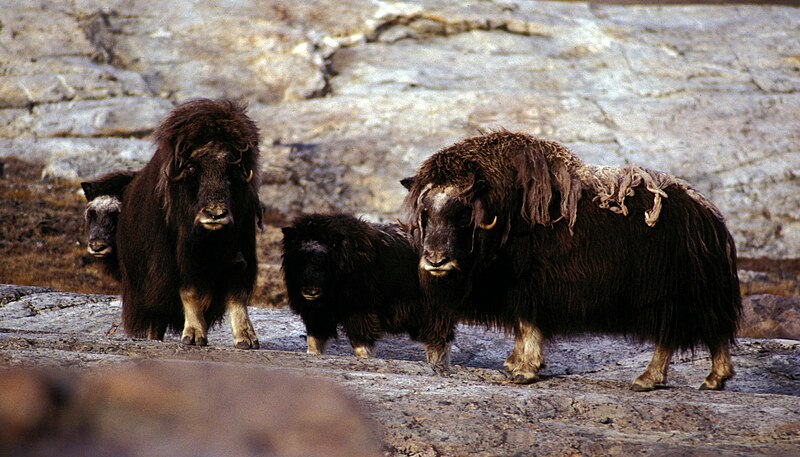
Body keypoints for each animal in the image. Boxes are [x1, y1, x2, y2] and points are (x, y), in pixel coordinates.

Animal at [117, 100, 260, 348]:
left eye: (232, 168)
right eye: (193, 168)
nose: (215, 214)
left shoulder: (241, 256)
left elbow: (237, 295)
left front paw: (247, 338)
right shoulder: (179, 263)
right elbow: (189, 293)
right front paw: (193, 336)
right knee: (157, 319)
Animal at [282, 213, 456, 364]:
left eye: (325, 260)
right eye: (299, 258)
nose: (310, 291)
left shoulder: (361, 313)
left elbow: (361, 344)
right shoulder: (315, 315)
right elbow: (314, 341)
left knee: (438, 340)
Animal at [404, 130, 740, 390]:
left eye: (462, 215)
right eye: (425, 213)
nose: (435, 260)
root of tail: (710, 216)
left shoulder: (531, 287)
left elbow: (528, 326)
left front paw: (524, 371)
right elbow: (520, 328)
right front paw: (512, 364)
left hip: (670, 295)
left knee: (674, 335)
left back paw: (650, 379)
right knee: (710, 331)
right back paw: (712, 380)